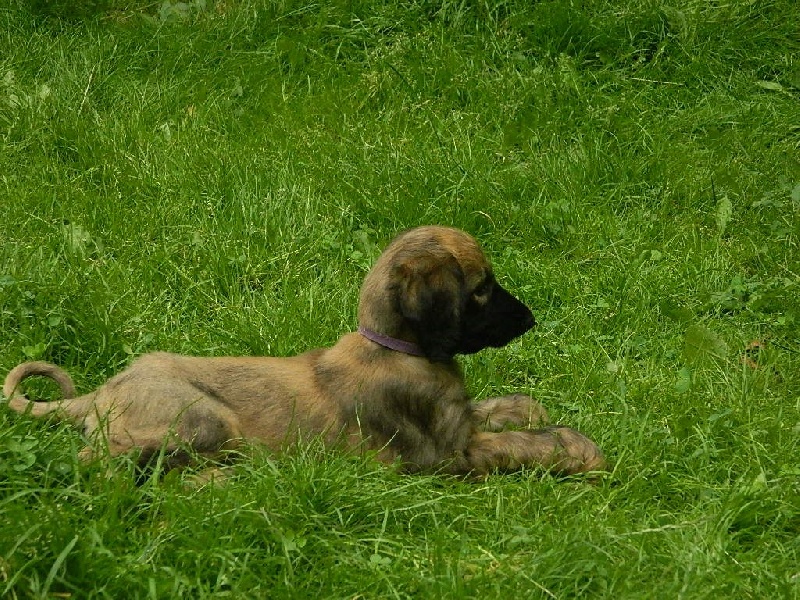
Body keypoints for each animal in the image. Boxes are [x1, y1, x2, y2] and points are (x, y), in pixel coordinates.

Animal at [4, 226, 606, 476]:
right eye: (481, 288)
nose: (530, 319)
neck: (395, 348)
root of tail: (99, 394)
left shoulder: (458, 421)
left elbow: (499, 410)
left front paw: (526, 407)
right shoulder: (444, 457)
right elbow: (525, 444)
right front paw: (579, 451)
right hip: (203, 420)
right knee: (100, 464)